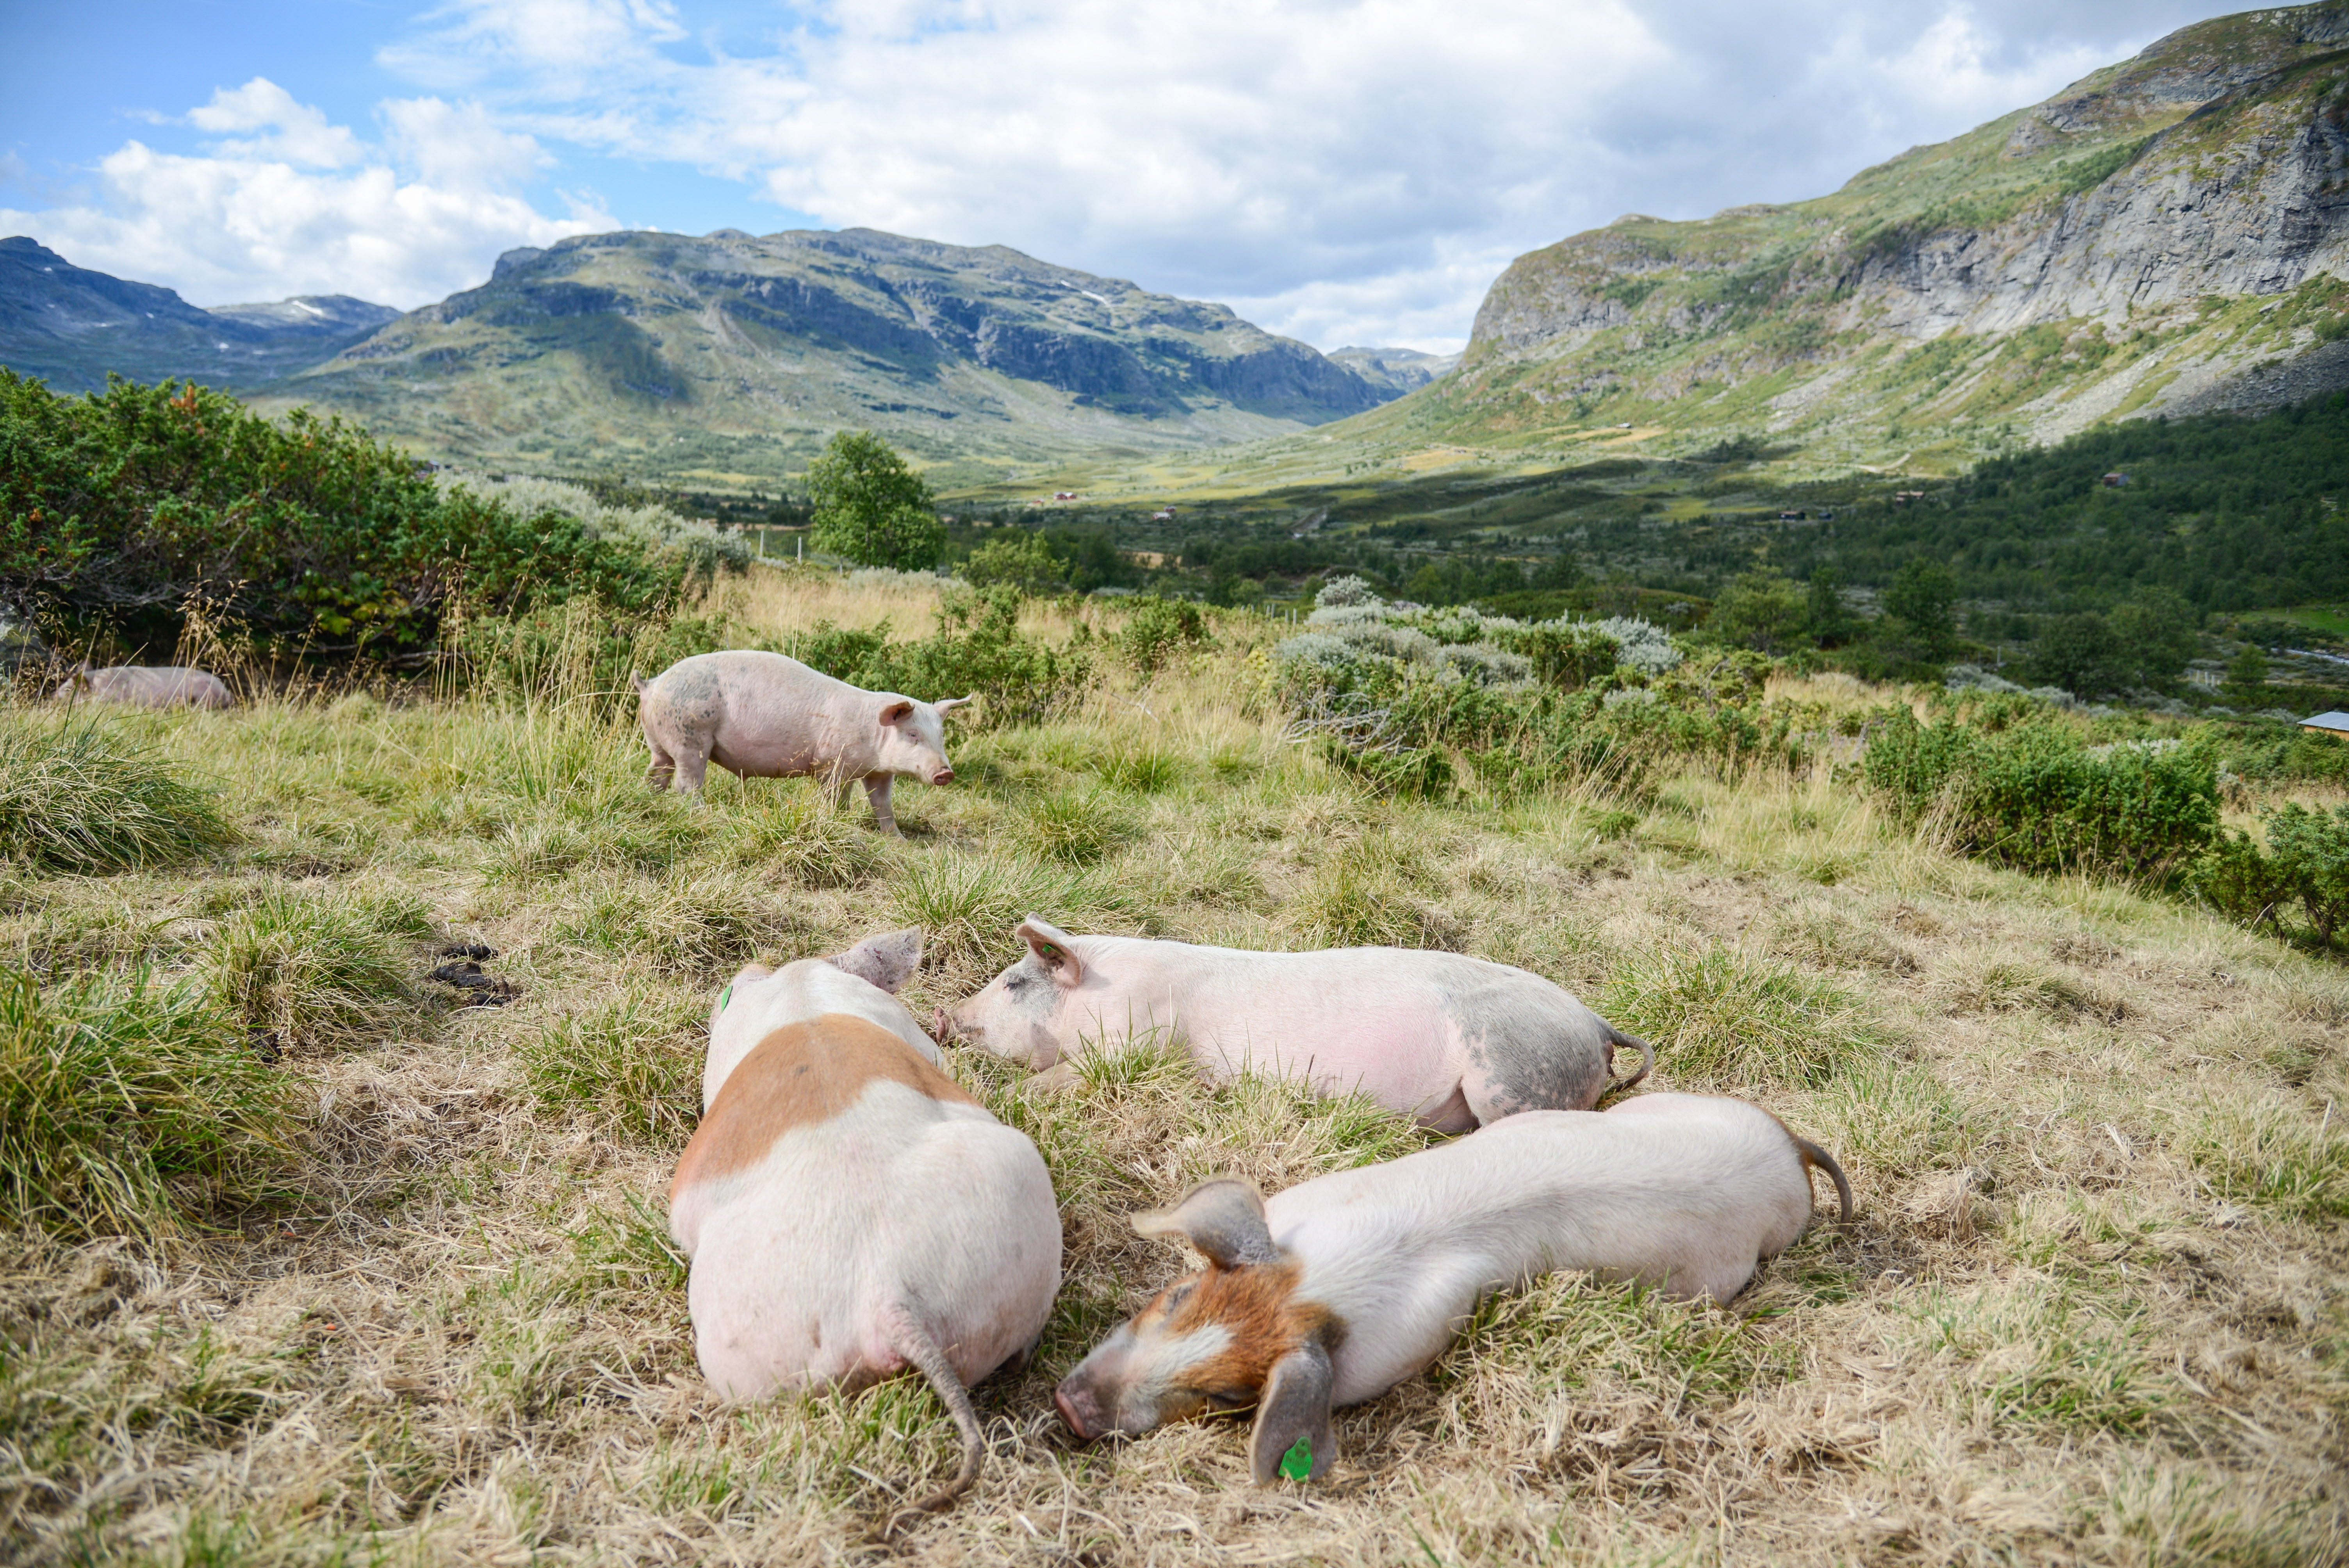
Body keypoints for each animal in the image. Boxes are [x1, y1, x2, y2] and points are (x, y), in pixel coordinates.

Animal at [630, 650, 972, 834]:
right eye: (913, 734)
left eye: (941, 736)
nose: (946, 772)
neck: (871, 736)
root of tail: (651, 684)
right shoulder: (831, 765)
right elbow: (837, 800)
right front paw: (838, 822)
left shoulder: (879, 772)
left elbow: (883, 805)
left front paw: (897, 839)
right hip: (691, 737)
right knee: (687, 784)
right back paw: (706, 815)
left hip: (658, 742)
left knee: (657, 773)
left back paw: (651, 800)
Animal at [937, 917, 1651, 1130]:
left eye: (1013, 983)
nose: (945, 1015)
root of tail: (1594, 1022)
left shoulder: (1137, 1047)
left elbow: (1058, 1080)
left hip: (1513, 1075)